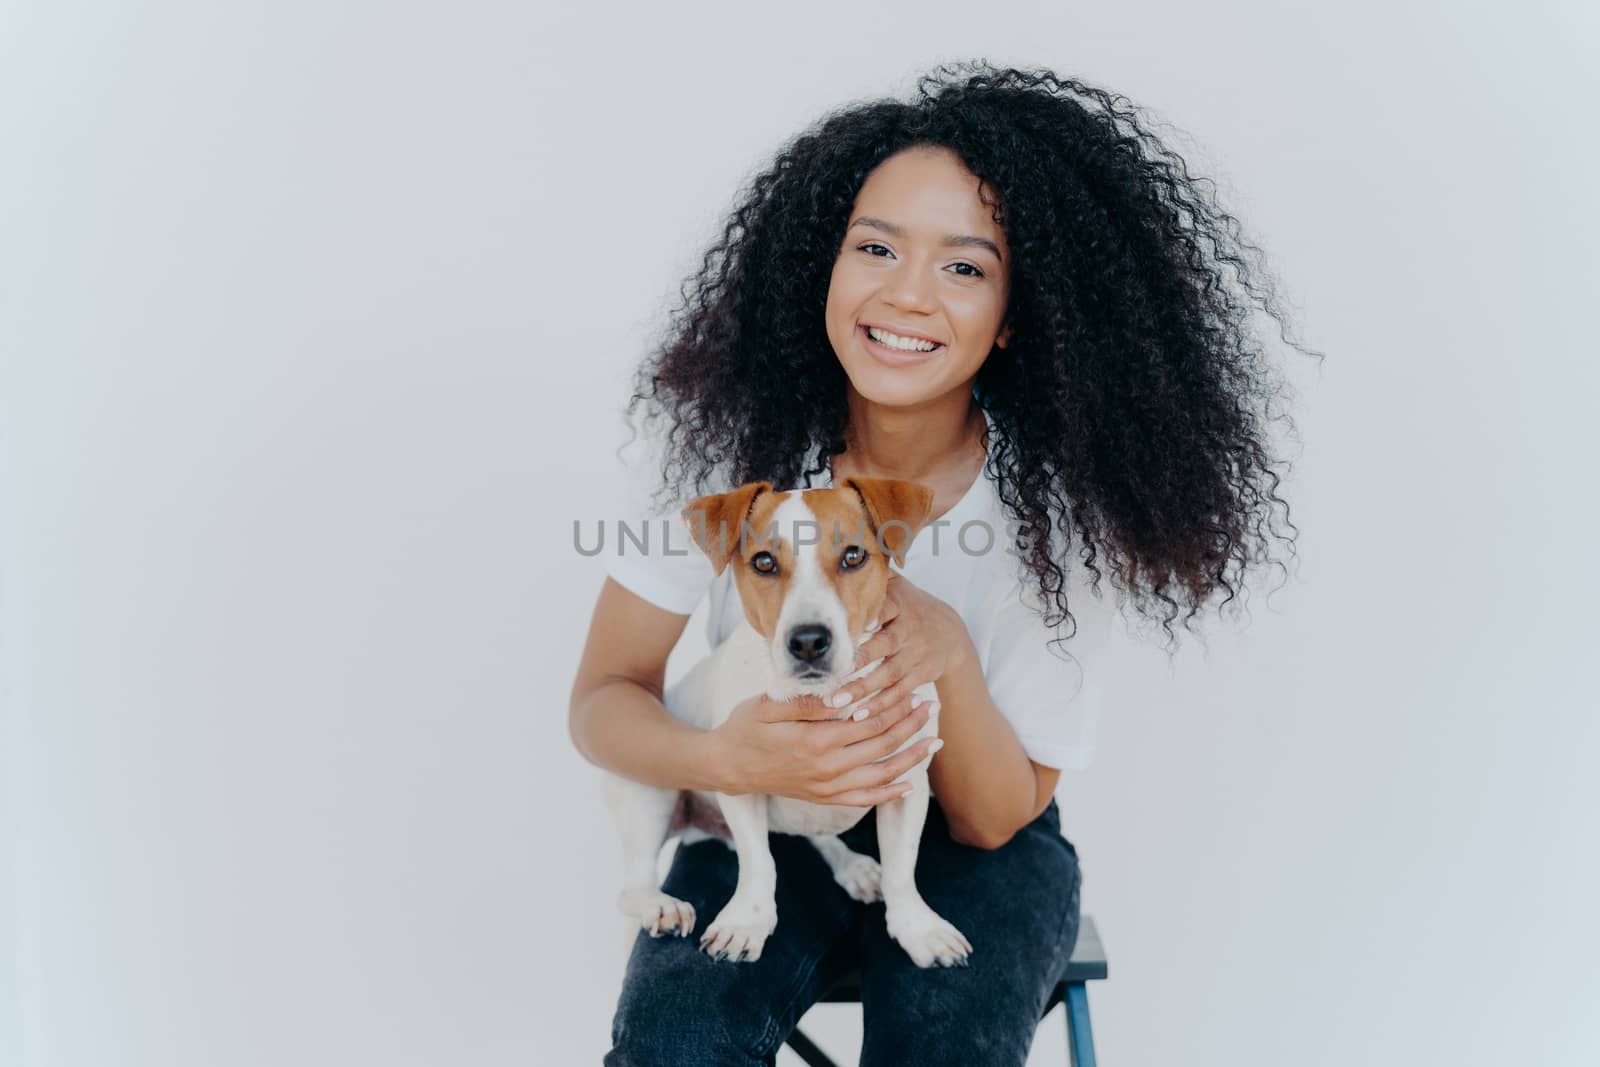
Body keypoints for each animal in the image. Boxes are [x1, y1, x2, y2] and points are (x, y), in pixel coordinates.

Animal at [601, 476, 966, 966]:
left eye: (853, 556)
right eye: (764, 562)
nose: (808, 641)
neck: (824, 698)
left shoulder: (909, 783)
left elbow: (902, 869)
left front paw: (918, 929)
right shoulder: (738, 779)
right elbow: (760, 863)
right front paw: (746, 924)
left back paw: (852, 865)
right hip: (647, 793)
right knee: (632, 886)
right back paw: (661, 906)